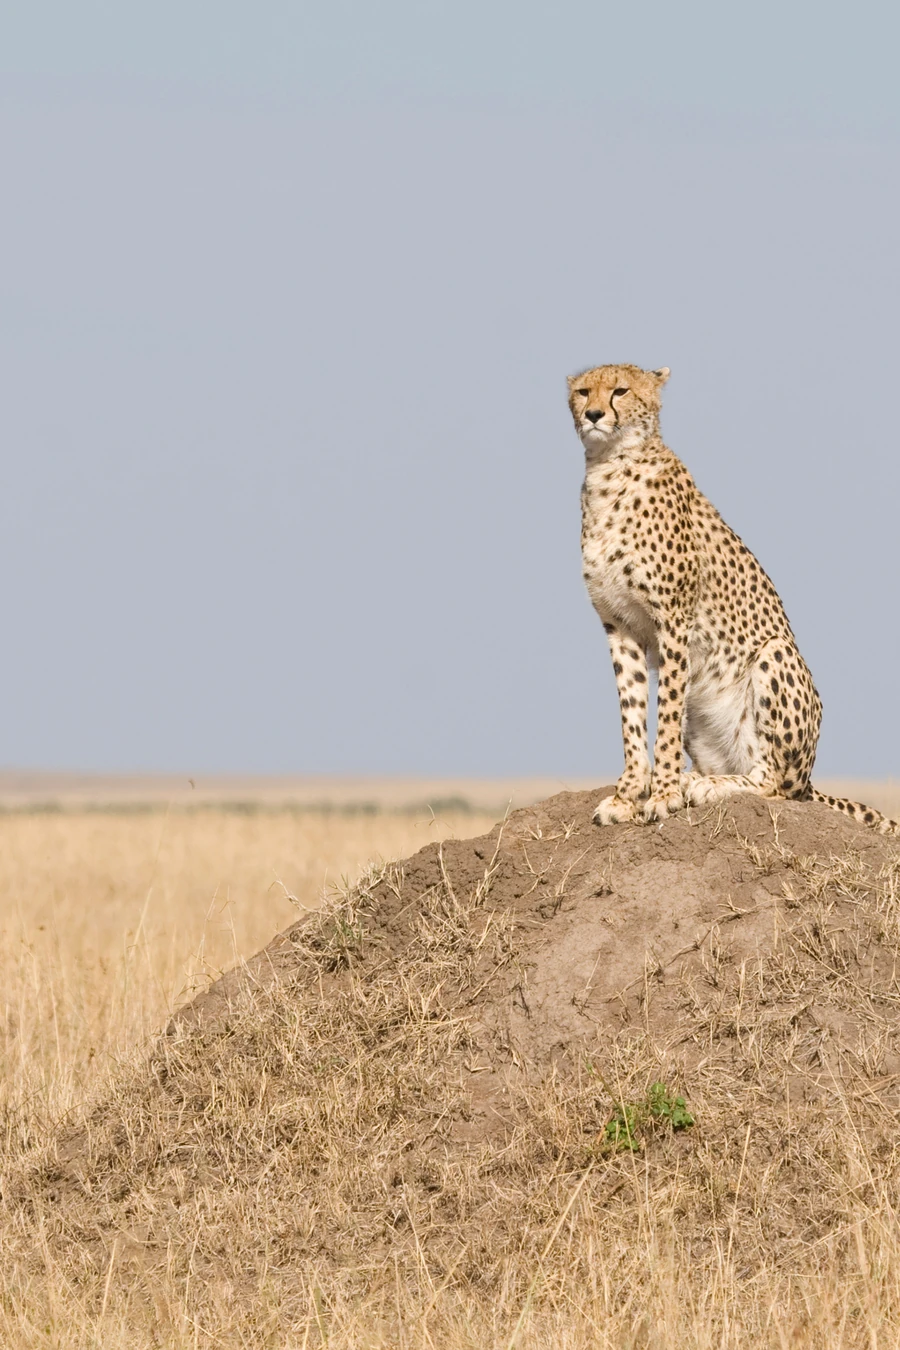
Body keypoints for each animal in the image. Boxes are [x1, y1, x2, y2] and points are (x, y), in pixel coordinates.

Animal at [569, 362, 898, 833]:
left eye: (620, 391)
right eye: (582, 391)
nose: (594, 414)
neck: (608, 469)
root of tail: (810, 779)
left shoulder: (674, 621)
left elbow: (665, 715)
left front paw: (663, 794)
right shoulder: (619, 625)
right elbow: (631, 713)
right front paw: (628, 794)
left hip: (775, 655)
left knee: (774, 784)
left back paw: (704, 786)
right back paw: (698, 777)